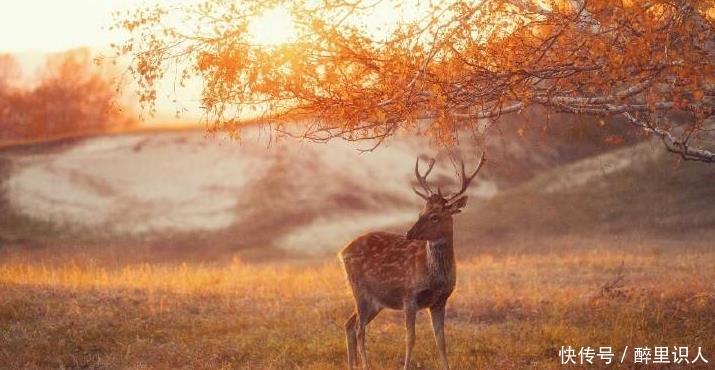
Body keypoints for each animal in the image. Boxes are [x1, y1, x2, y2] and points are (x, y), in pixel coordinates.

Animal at [340, 152, 486, 368]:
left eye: (434, 216)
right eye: (420, 213)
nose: (409, 233)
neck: (435, 278)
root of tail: (342, 252)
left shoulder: (440, 301)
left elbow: (441, 340)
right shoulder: (409, 295)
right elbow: (410, 338)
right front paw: (406, 366)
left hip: (375, 301)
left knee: (349, 324)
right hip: (360, 290)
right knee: (359, 329)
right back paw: (366, 365)